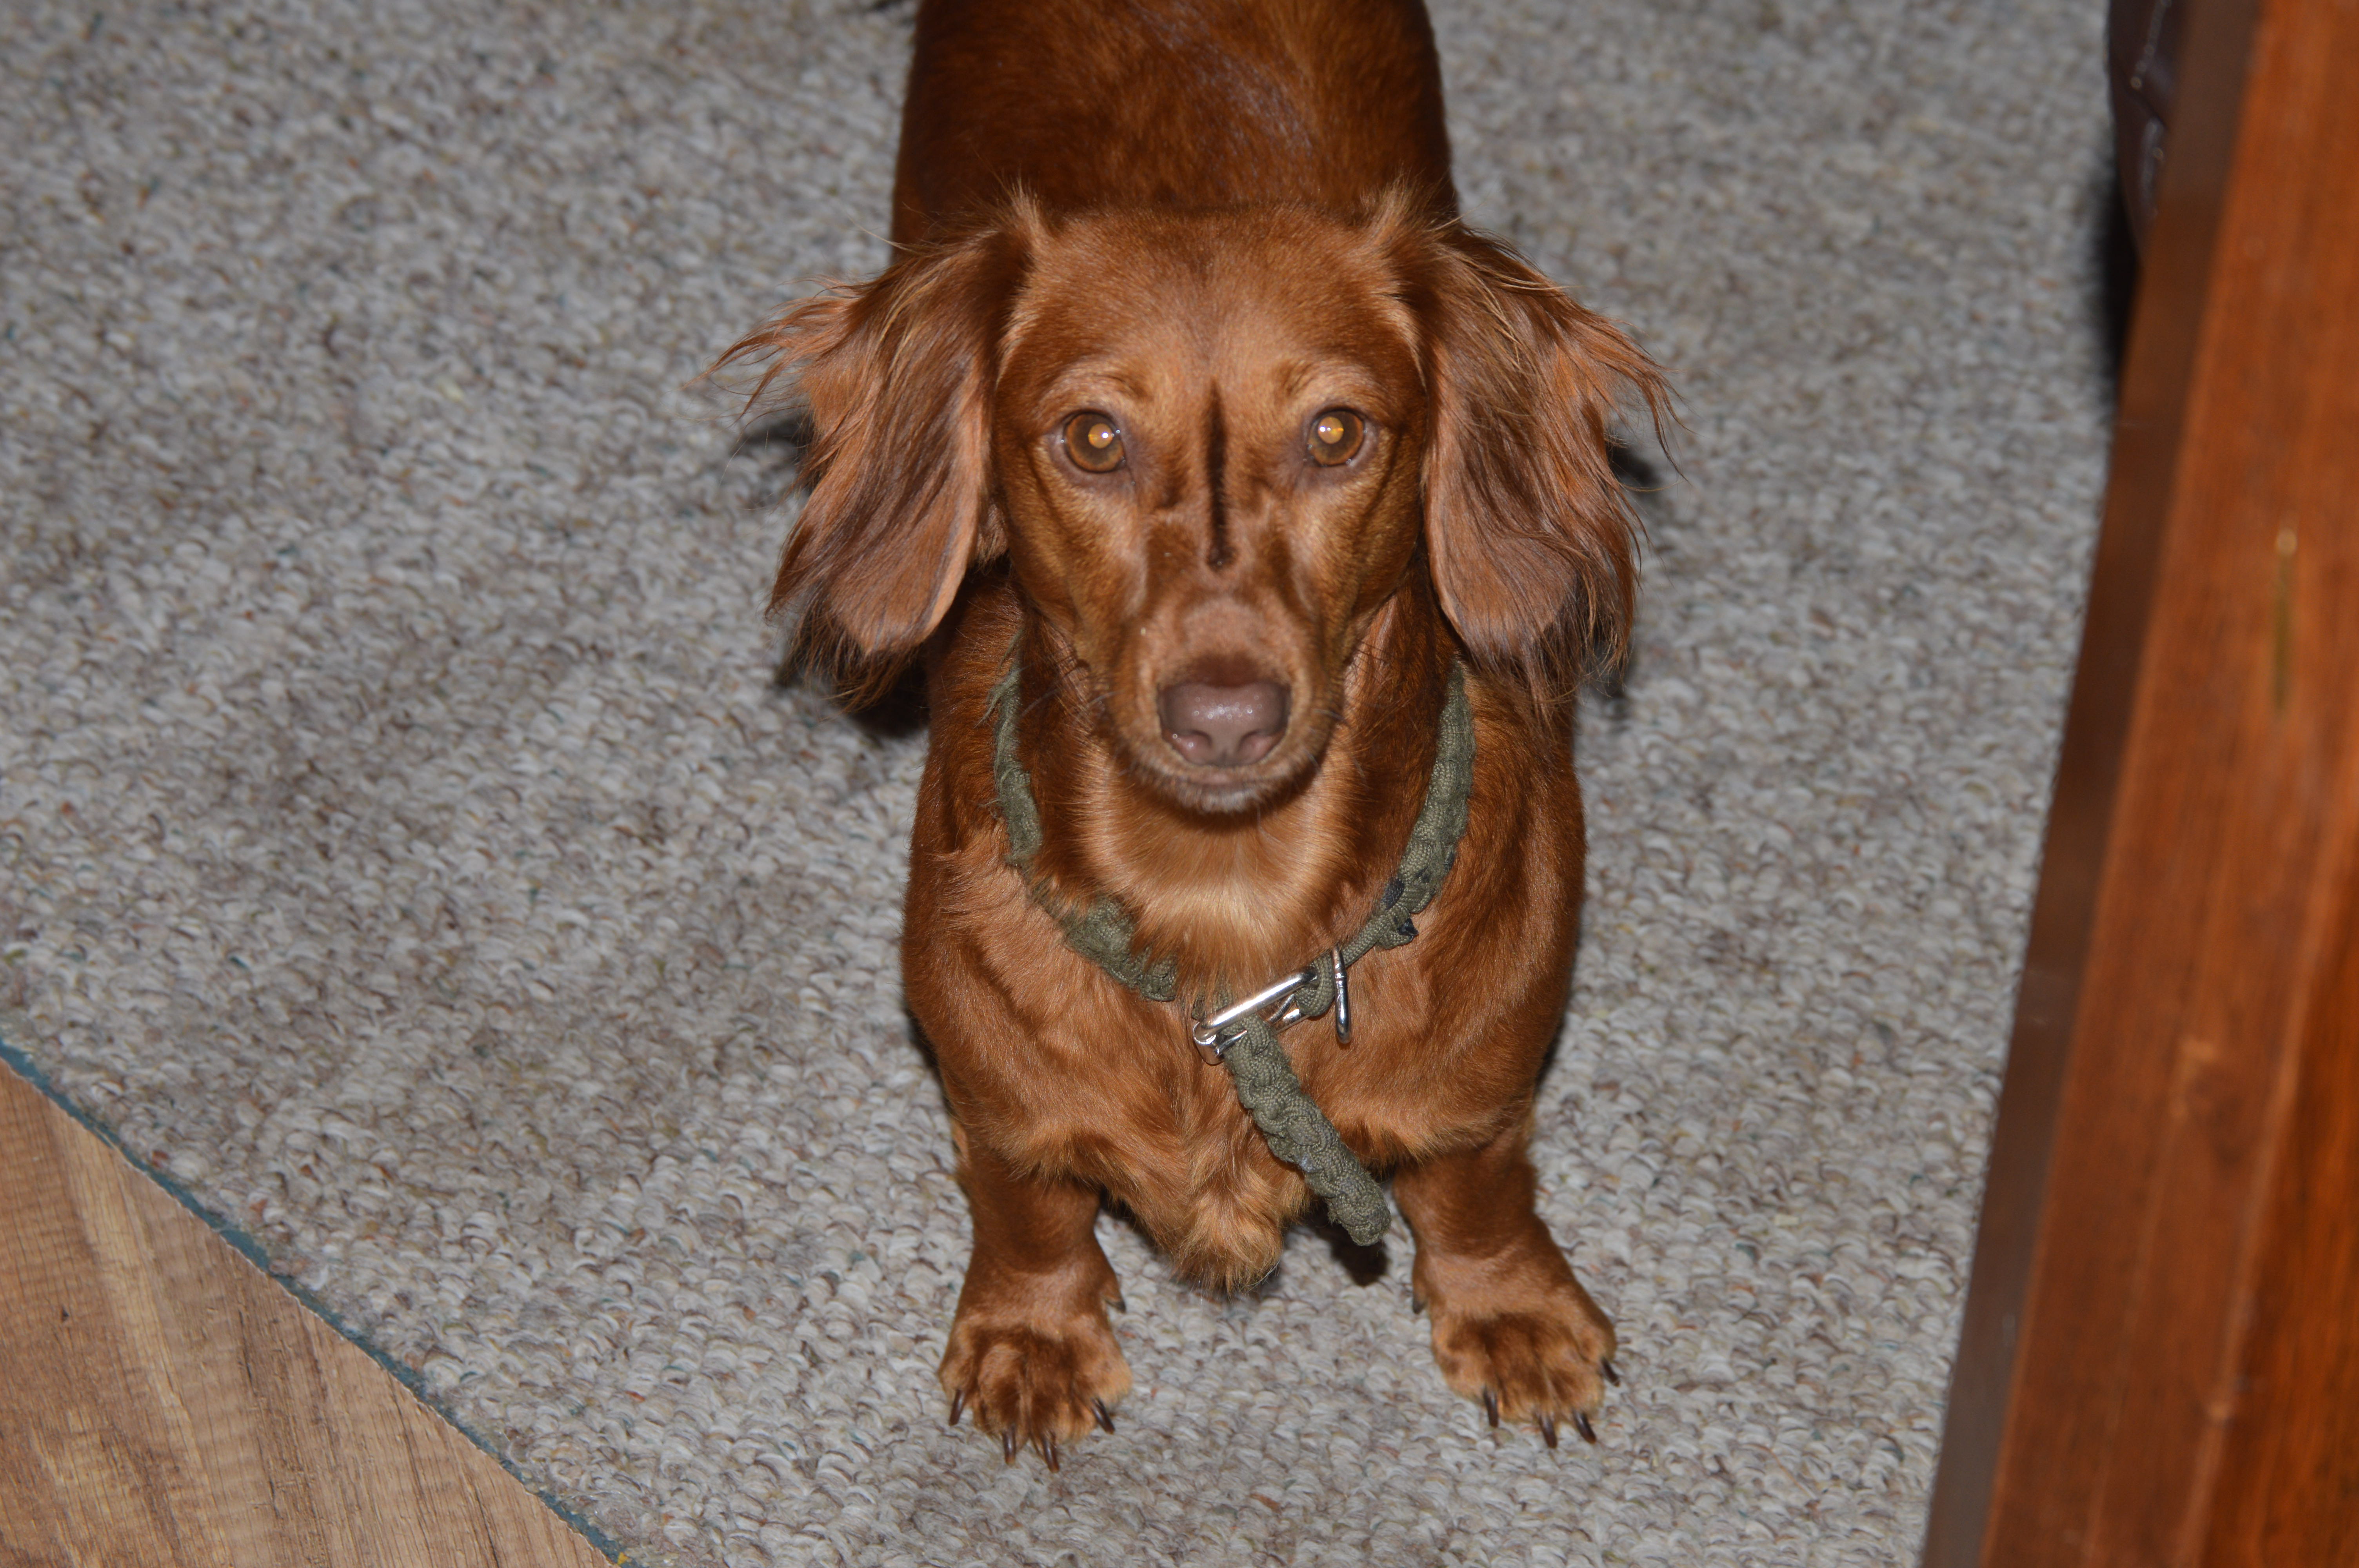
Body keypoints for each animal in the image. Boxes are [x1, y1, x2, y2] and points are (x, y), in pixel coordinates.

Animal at [718, 0, 1667, 1467]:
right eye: (1093, 438)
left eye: (1335, 433)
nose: (1225, 715)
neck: (1229, 907)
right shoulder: (996, 1101)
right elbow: (1028, 1205)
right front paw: (1032, 1336)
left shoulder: (1484, 1089)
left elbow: (1479, 1184)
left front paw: (1513, 1310)